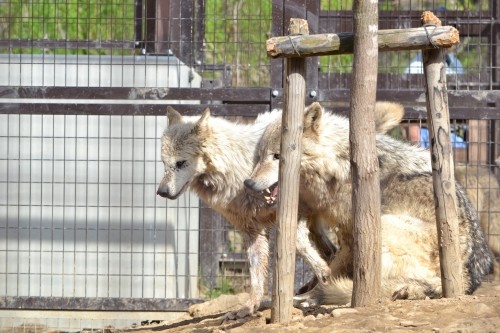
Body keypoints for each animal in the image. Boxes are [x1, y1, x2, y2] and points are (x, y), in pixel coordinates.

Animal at [158, 102, 404, 316]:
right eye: (164, 164)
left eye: (180, 163)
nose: (161, 191)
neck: (234, 167)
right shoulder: (252, 229)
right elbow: (256, 277)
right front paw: (248, 308)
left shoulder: (296, 209)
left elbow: (297, 243)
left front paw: (322, 272)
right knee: (330, 249)